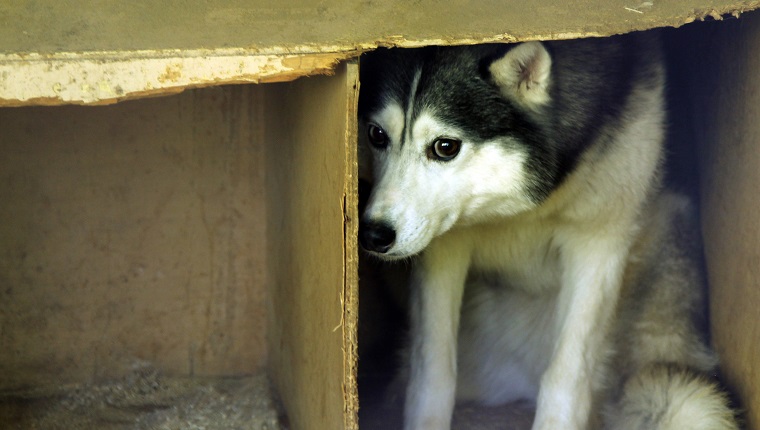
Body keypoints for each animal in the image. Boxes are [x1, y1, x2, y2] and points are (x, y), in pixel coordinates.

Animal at [360, 34, 740, 430]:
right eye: (377, 135)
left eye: (445, 146)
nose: (373, 235)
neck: (521, 209)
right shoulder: (443, 246)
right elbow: (431, 373)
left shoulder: (598, 241)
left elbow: (565, 376)